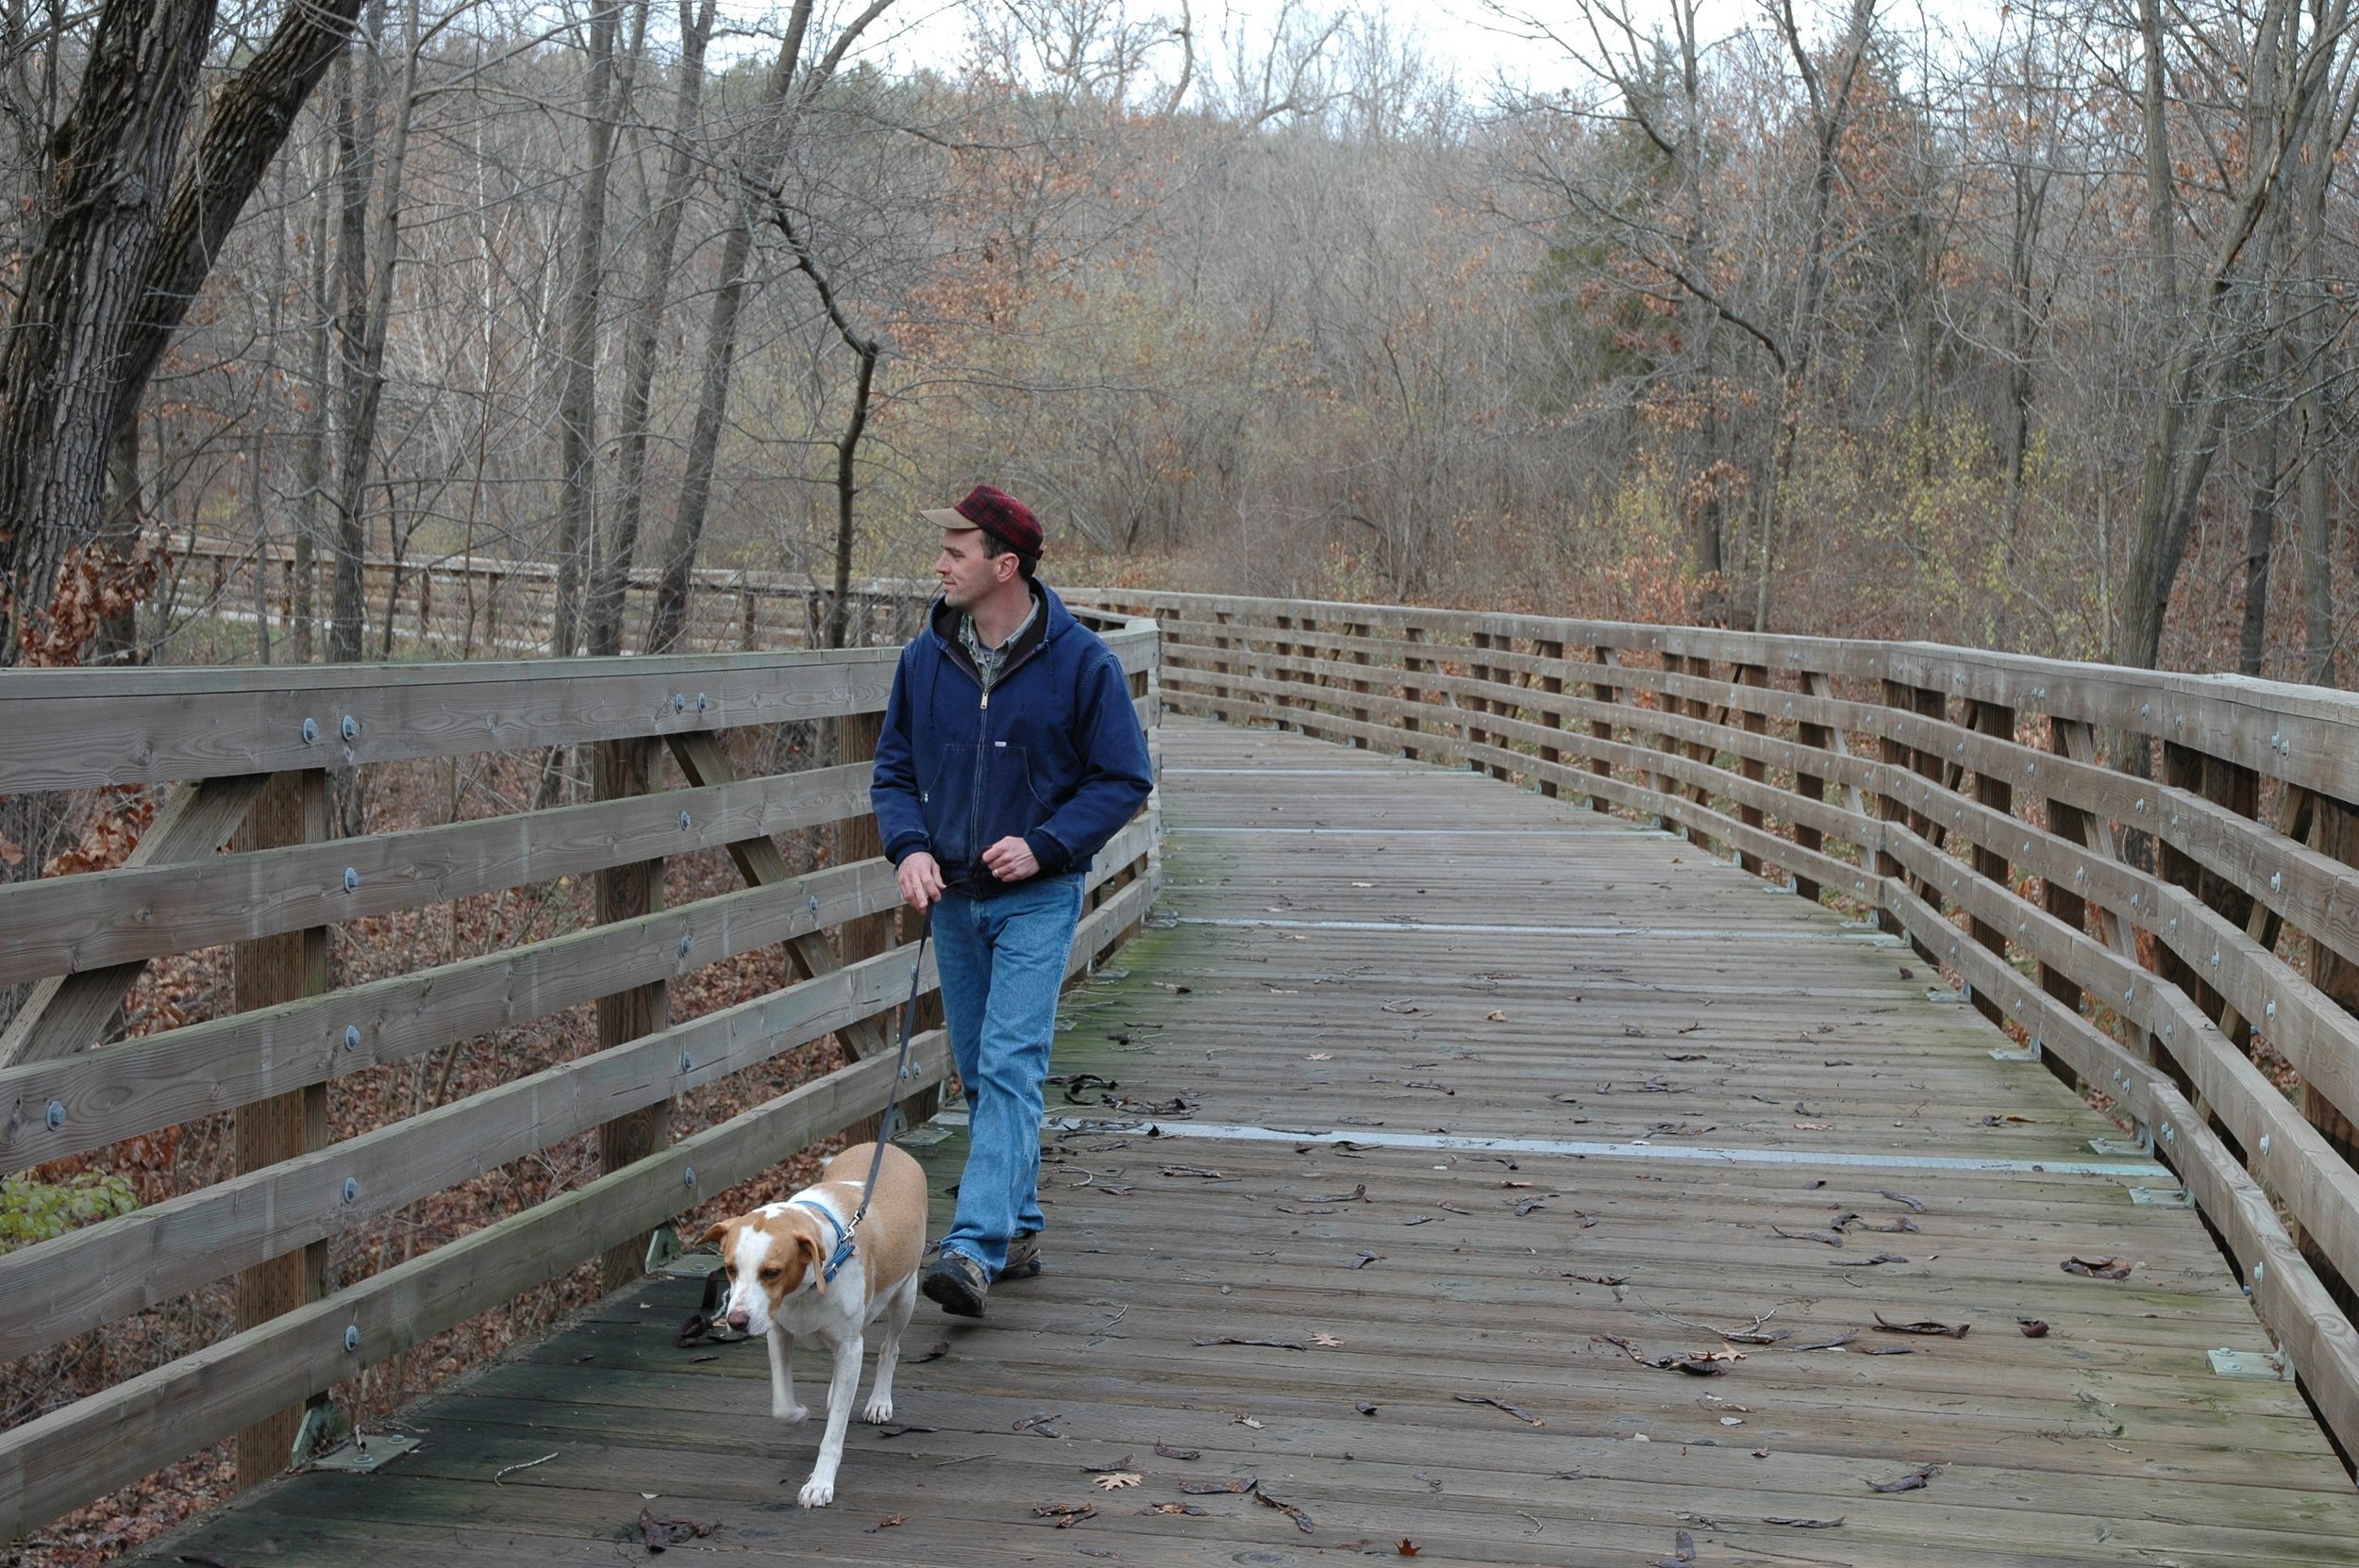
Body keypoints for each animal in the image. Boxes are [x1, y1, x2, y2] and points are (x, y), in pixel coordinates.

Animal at [694, 1136, 925, 1509]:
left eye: (771, 1272)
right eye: (729, 1268)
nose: (737, 1321)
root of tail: (888, 1147)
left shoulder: (850, 1345)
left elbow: (833, 1435)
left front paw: (820, 1483)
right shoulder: (778, 1330)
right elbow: (782, 1403)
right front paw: (798, 1413)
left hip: (905, 1295)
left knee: (890, 1348)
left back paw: (879, 1401)